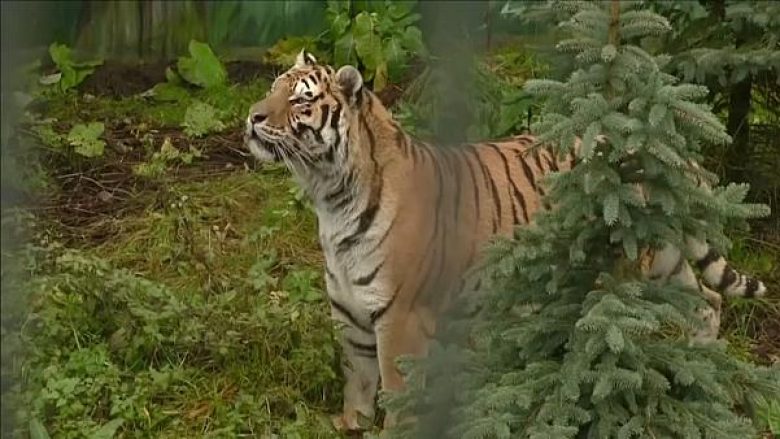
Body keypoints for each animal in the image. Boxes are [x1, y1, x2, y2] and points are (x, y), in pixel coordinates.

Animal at [244, 50, 768, 430]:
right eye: (272, 89)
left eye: (300, 101)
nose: (251, 117)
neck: (331, 197)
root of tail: (665, 148)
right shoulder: (349, 311)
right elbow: (356, 379)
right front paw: (349, 424)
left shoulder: (400, 316)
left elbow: (396, 390)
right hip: (665, 259)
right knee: (707, 301)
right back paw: (698, 370)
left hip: (631, 265)